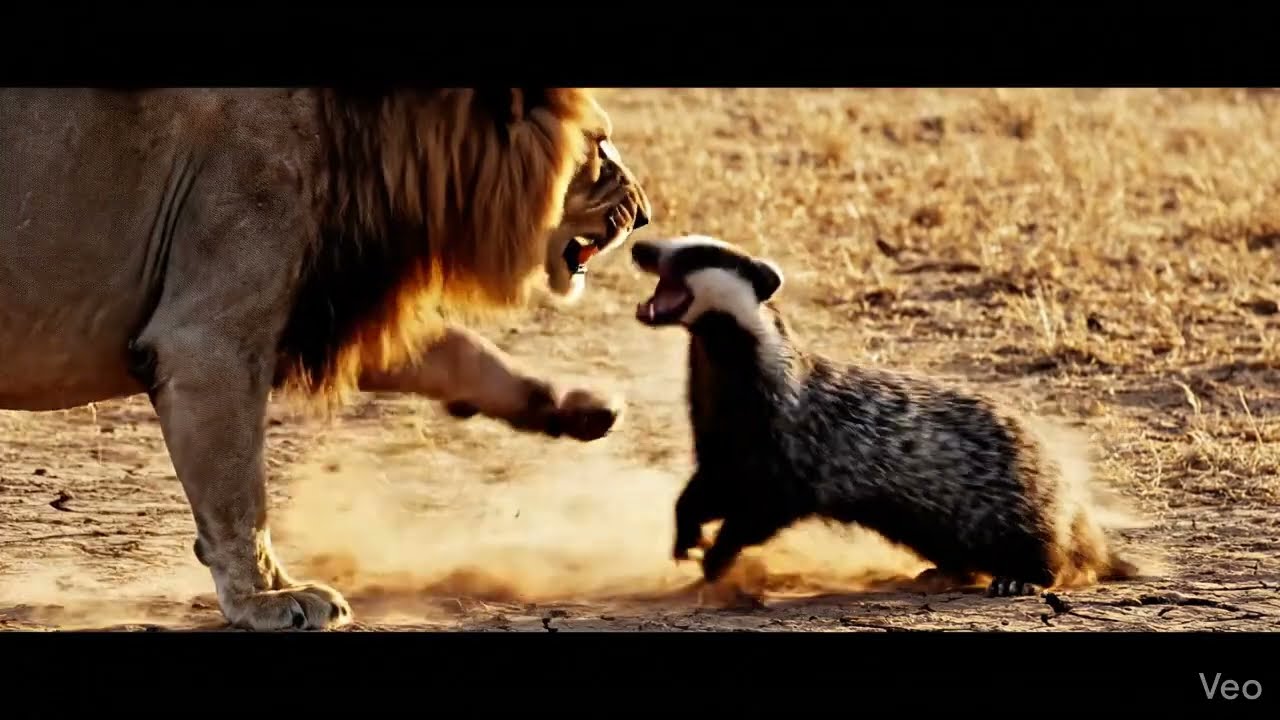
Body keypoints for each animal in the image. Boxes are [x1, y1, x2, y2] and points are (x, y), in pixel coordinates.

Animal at [0, 88, 652, 630]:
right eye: (599, 145)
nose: (644, 214)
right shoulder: (208, 334)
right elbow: (239, 492)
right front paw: (268, 597)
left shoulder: (326, 299)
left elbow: (461, 349)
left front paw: (577, 407)